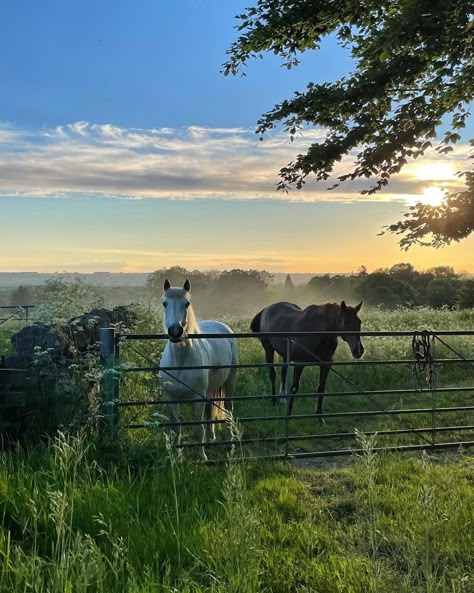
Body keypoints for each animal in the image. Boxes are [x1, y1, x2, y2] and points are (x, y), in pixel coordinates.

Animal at [159, 278, 239, 458]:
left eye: (187, 303)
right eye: (165, 303)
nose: (175, 331)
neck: (180, 363)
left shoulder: (197, 398)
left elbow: (198, 428)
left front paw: (202, 457)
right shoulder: (170, 398)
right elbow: (176, 427)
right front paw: (177, 456)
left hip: (230, 380)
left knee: (228, 409)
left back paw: (230, 443)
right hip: (209, 391)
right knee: (210, 410)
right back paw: (210, 439)